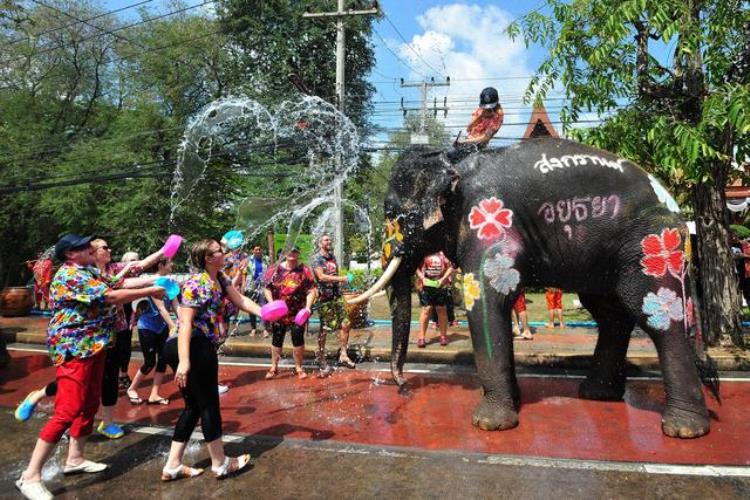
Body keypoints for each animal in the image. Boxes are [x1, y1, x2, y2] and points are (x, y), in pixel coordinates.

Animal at [352, 137, 724, 438]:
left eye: (392, 213)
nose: (401, 385)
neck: (451, 158)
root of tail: (675, 207)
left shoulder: (487, 222)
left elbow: (485, 301)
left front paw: (489, 424)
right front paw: (512, 402)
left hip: (651, 242)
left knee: (659, 318)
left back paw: (684, 429)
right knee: (610, 314)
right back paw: (597, 395)